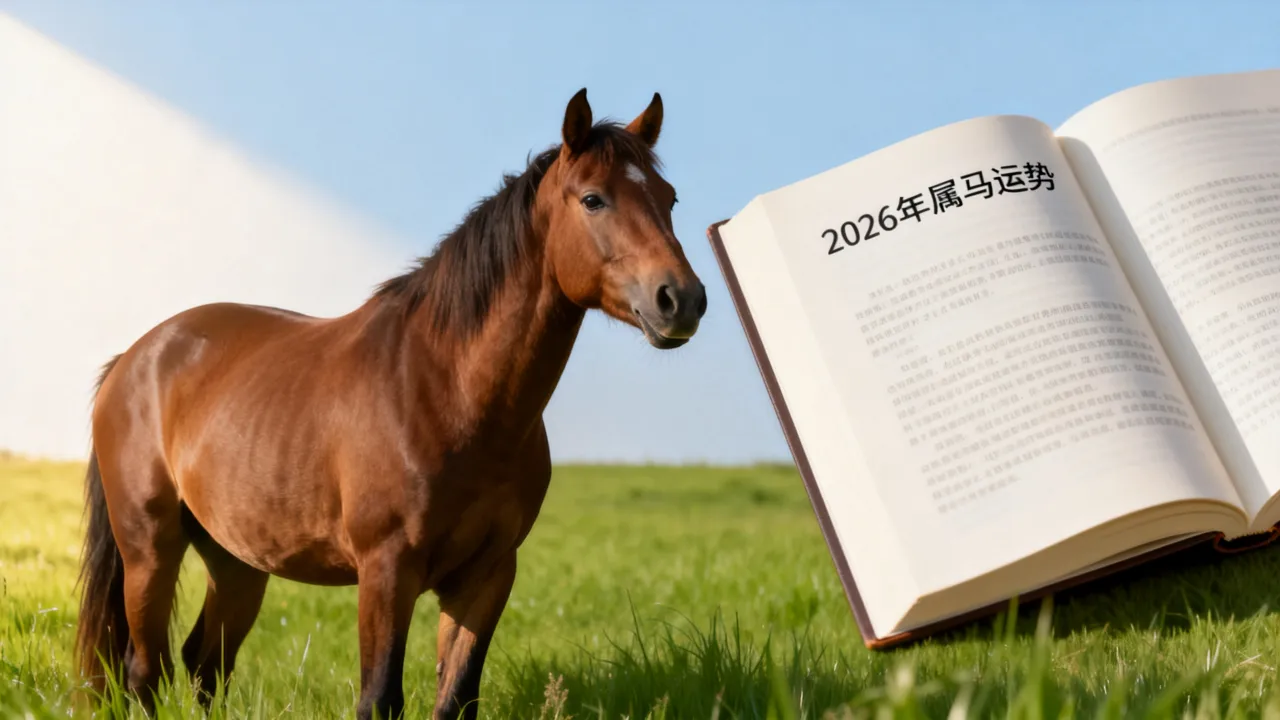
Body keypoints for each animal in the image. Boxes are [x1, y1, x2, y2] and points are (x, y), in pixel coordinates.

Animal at [73, 88, 706, 720]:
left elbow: (456, 698)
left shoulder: (488, 575)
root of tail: (134, 359)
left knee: (205, 663)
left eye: (669, 197)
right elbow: (380, 698)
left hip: (236, 560)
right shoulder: (386, 571)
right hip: (150, 550)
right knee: (144, 671)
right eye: (593, 199)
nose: (682, 299)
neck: (446, 390)